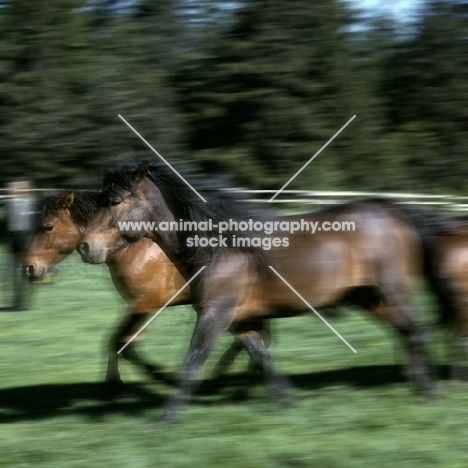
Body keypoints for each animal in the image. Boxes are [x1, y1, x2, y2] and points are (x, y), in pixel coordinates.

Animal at [77, 160, 454, 420]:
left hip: (392, 291)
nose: (85, 247)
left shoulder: (215, 315)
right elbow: (263, 357)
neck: (218, 248)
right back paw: (419, 385)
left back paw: (428, 392)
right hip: (371, 299)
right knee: (410, 332)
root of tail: (392, 209)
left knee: (417, 331)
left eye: (114, 200)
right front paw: (287, 405)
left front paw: (165, 419)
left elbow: (191, 364)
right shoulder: (241, 320)